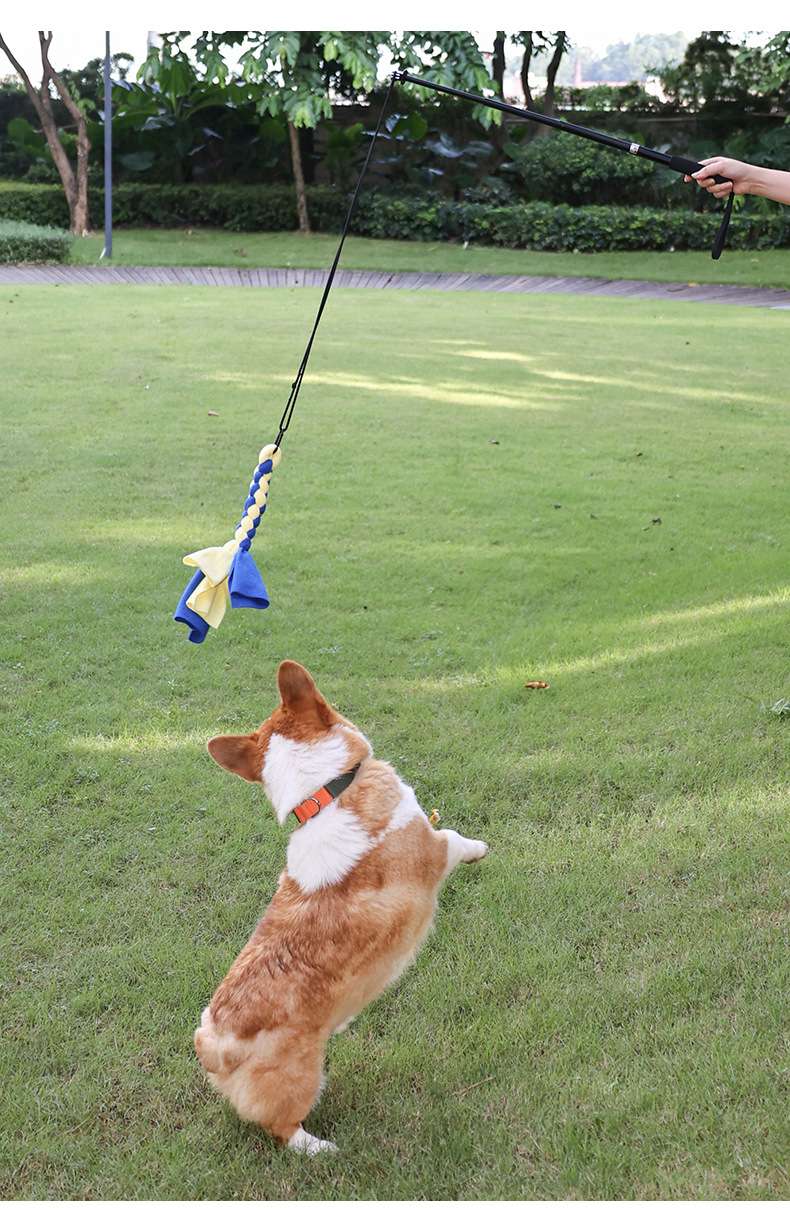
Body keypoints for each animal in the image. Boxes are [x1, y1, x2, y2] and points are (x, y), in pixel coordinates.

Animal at [193, 663, 484, 1152]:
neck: (327, 792)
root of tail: (213, 1043)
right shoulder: (432, 849)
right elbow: (453, 838)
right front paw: (480, 848)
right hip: (302, 1079)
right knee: (283, 1128)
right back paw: (323, 1150)